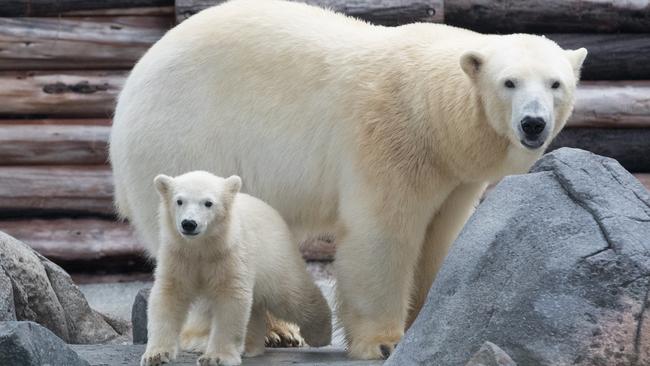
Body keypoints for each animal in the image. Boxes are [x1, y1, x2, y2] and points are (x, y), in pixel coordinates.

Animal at [109, 0, 584, 360]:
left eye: (556, 83)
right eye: (509, 82)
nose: (533, 124)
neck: (430, 113)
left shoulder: (453, 174)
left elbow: (439, 237)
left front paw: (425, 319)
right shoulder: (389, 139)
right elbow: (383, 234)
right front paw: (385, 342)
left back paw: (278, 331)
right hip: (185, 140)